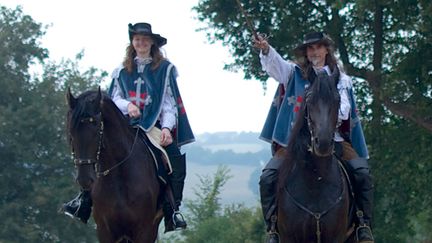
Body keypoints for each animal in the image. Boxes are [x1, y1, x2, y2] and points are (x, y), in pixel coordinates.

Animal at [276, 69, 354, 243]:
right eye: (309, 98)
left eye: (338, 99)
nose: (323, 143)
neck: (315, 181)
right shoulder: (289, 237)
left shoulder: (336, 237)